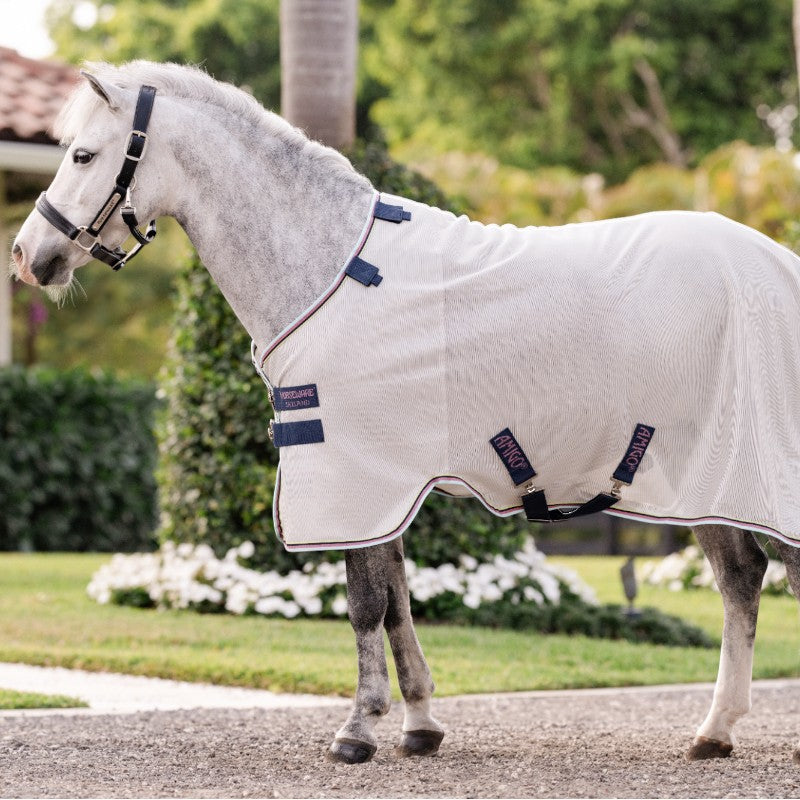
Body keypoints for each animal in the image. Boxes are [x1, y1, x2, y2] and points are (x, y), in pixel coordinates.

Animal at [11, 60, 800, 765]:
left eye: (83, 154)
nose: (27, 256)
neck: (330, 266)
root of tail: (780, 264)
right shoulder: (382, 485)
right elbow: (395, 601)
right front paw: (420, 725)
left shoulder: (352, 475)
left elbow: (365, 604)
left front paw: (357, 731)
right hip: (707, 481)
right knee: (742, 581)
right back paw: (713, 732)